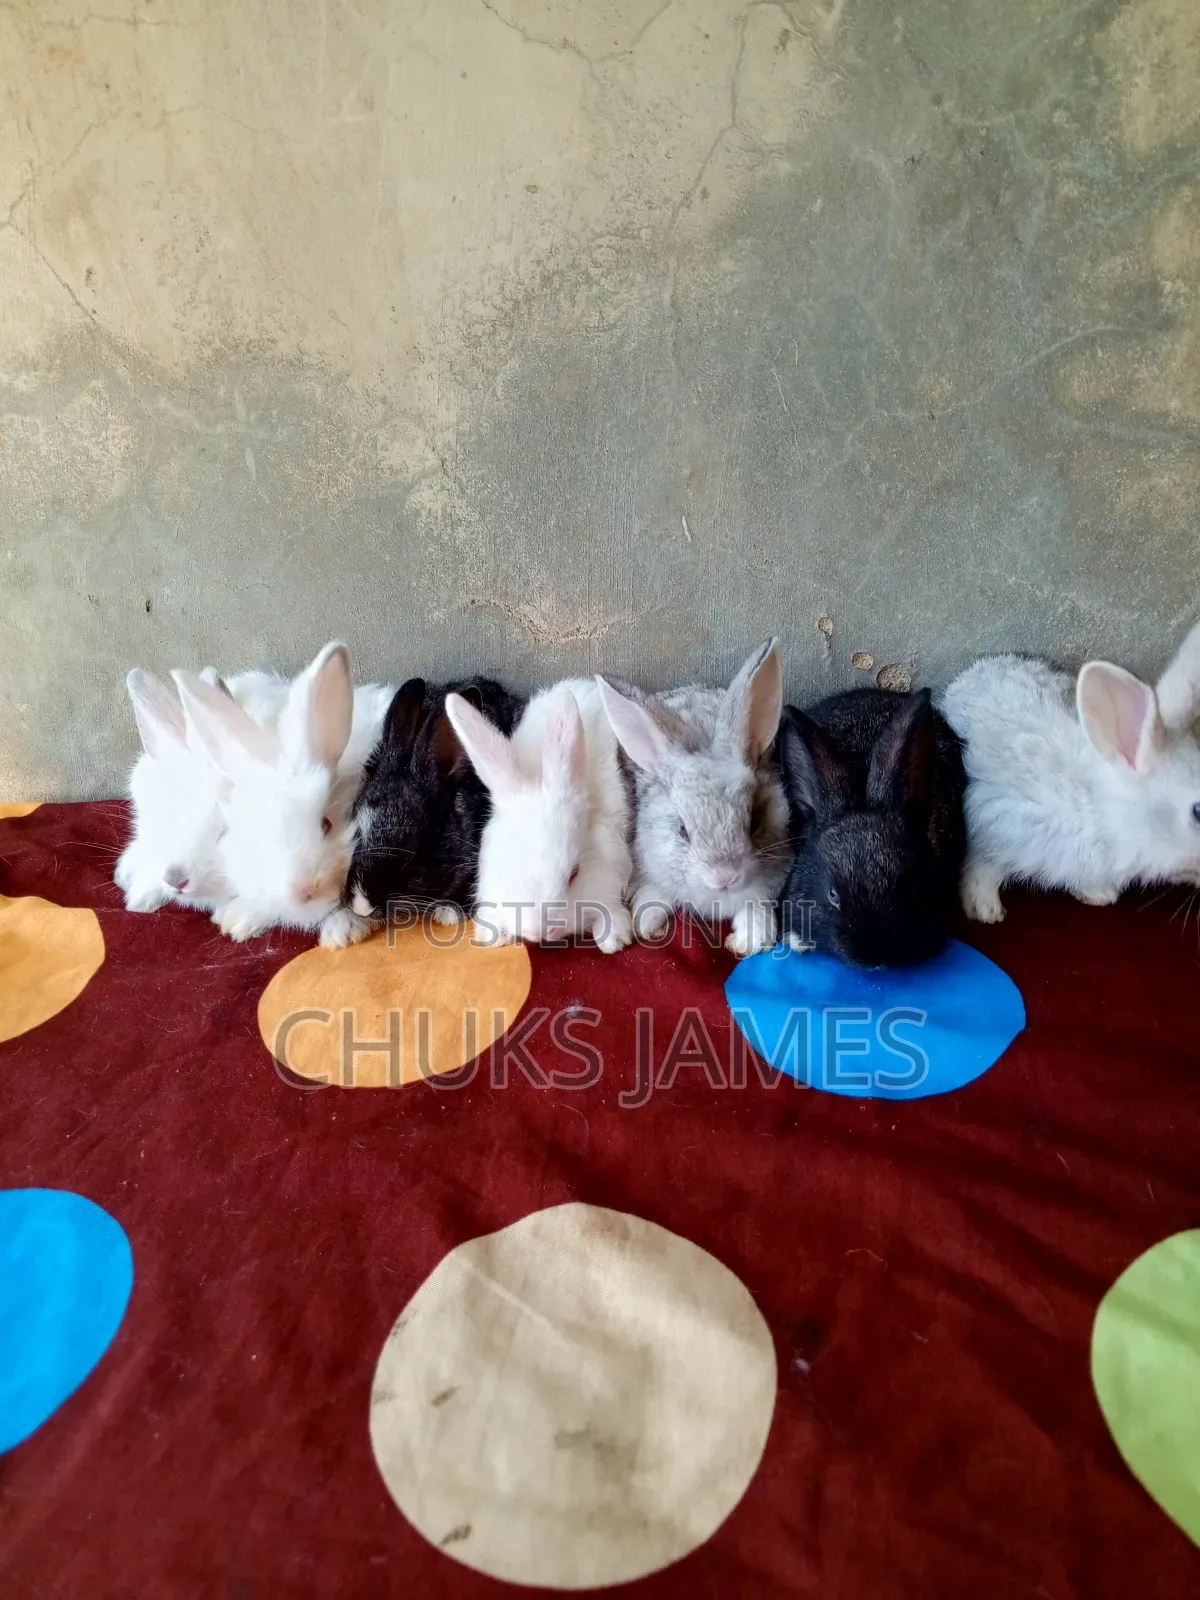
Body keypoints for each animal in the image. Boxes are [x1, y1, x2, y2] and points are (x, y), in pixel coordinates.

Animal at [939, 619, 1200, 923]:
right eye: (1198, 810)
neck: (1102, 809)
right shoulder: (995, 827)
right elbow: (982, 870)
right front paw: (985, 911)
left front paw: (1098, 896)